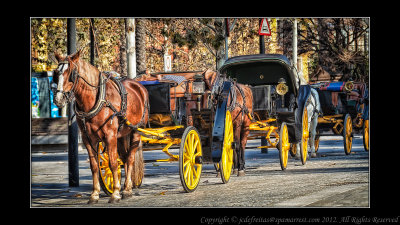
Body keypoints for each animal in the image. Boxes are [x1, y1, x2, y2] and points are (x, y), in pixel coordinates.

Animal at [51, 49, 148, 204]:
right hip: (122, 135)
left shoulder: (110, 136)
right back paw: (127, 188)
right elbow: (95, 165)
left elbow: (113, 163)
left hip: (136, 130)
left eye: (72, 73)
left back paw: (126, 189)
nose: (58, 99)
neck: (96, 100)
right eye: (56, 73)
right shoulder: (88, 139)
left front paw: (115, 193)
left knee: (130, 158)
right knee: (125, 157)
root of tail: (138, 85)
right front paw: (95, 194)